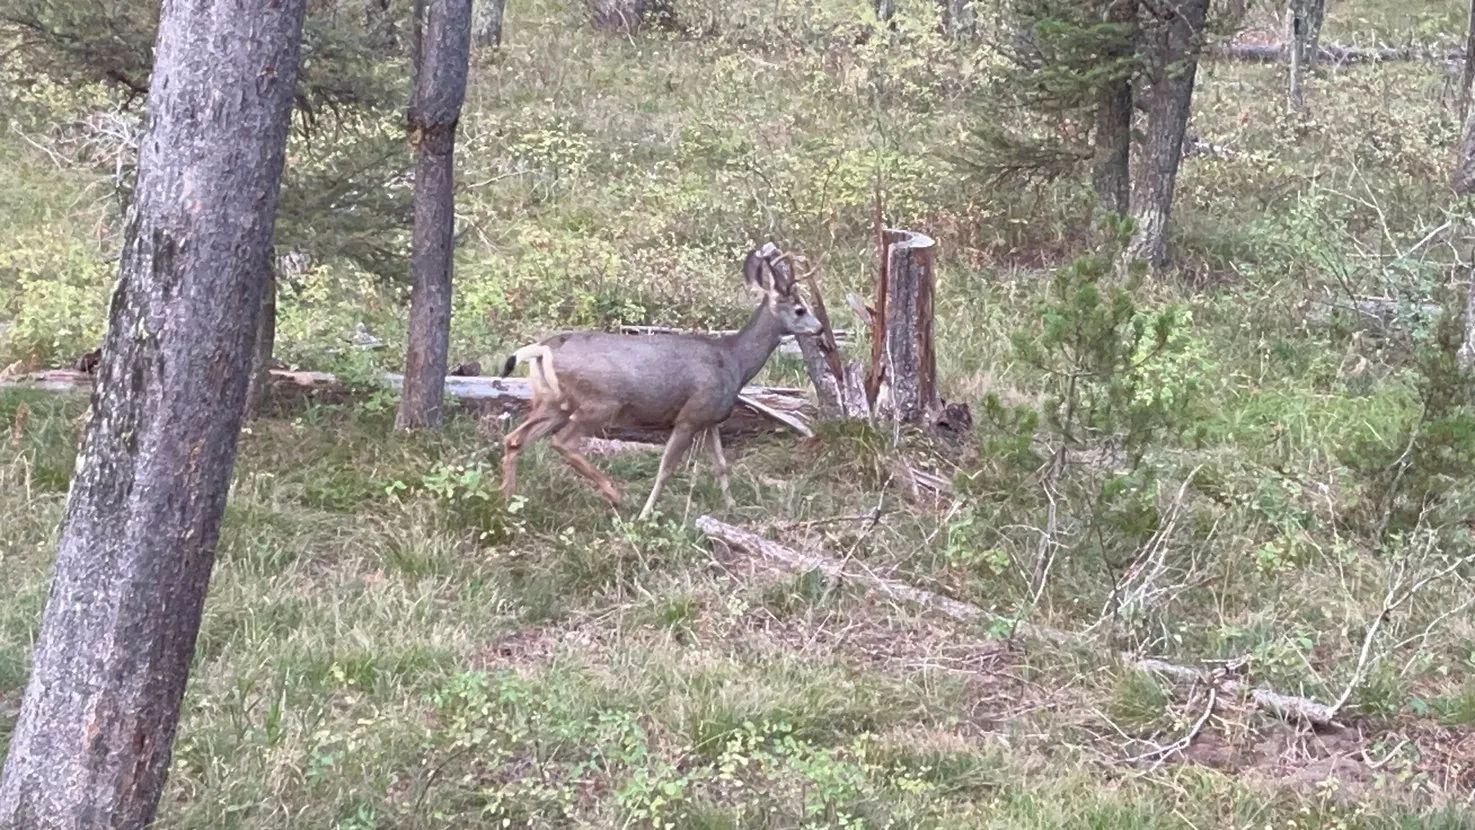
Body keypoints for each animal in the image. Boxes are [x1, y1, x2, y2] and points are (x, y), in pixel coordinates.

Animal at [499, 246, 824, 520]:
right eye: (800, 309)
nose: (820, 328)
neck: (734, 361)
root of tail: (543, 349)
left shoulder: (711, 418)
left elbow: (721, 465)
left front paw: (732, 507)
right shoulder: (689, 416)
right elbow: (666, 468)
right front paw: (646, 514)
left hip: (551, 401)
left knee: (514, 439)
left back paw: (508, 498)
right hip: (599, 402)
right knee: (562, 442)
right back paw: (616, 495)